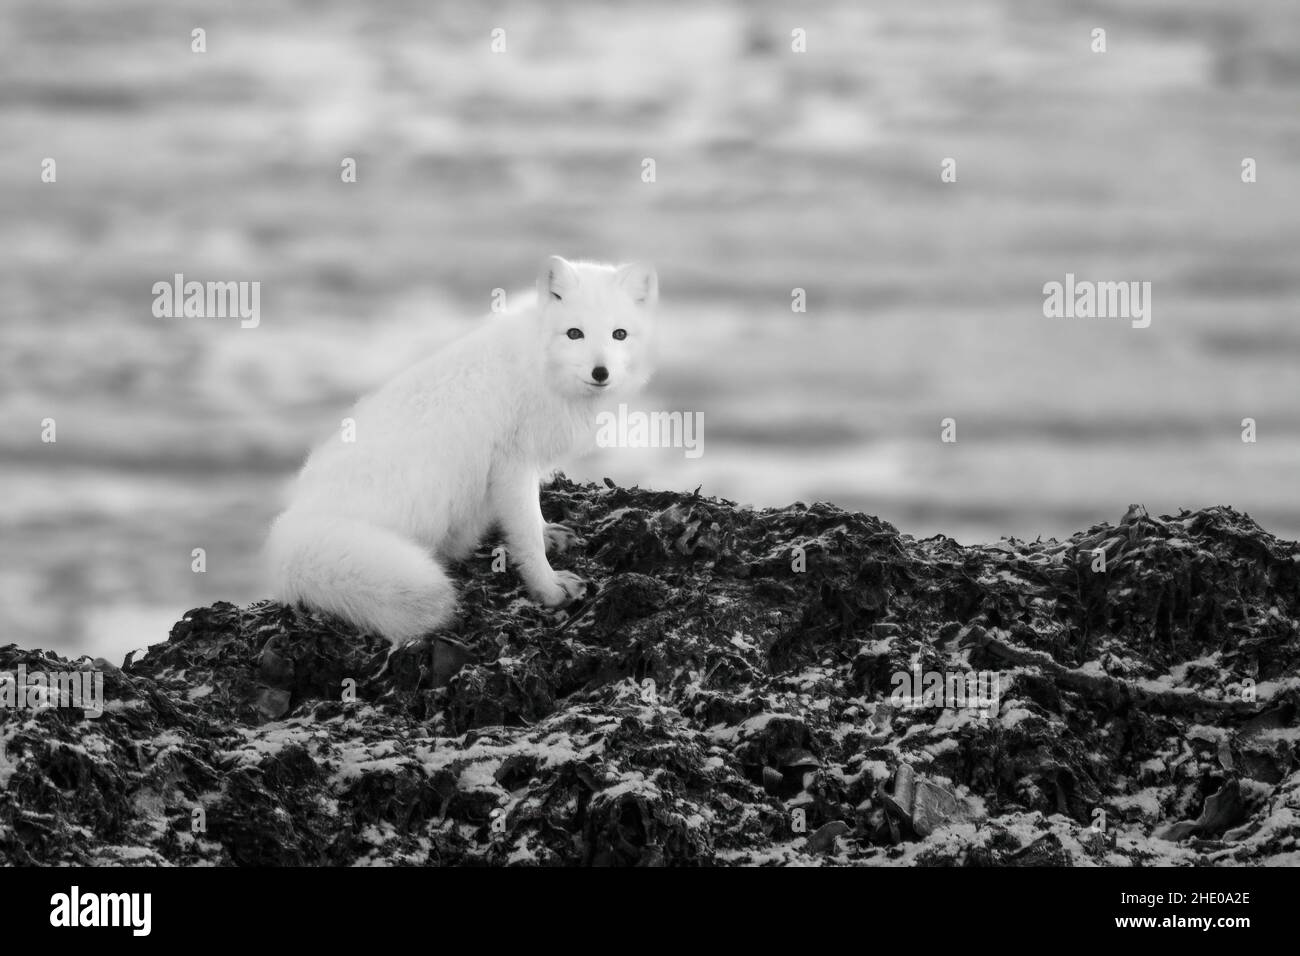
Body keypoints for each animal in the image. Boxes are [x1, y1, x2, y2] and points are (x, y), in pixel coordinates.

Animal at [269, 256, 665, 642]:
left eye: (619, 334)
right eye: (574, 333)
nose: (601, 372)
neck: (540, 369)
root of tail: (294, 521)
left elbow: (533, 518)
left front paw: (548, 533)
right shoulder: (513, 465)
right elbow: (525, 536)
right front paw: (549, 589)